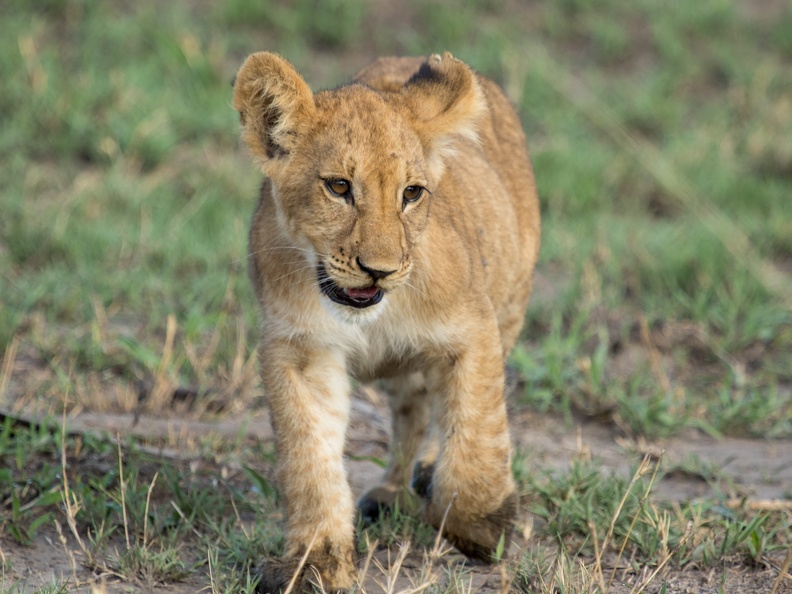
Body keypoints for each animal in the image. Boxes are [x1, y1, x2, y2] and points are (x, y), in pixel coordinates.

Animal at [232, 51, 540, 592]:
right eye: (339, 187)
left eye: (411, 193)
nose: (380, 269)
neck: (368, 316)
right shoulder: (299, 349)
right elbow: (308, 455)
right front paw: (316, 562)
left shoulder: (473, 328)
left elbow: (477, 422)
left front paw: (482, 527)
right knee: (410, 412)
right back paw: (393, 492)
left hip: (510, 301)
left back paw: (428, 477)